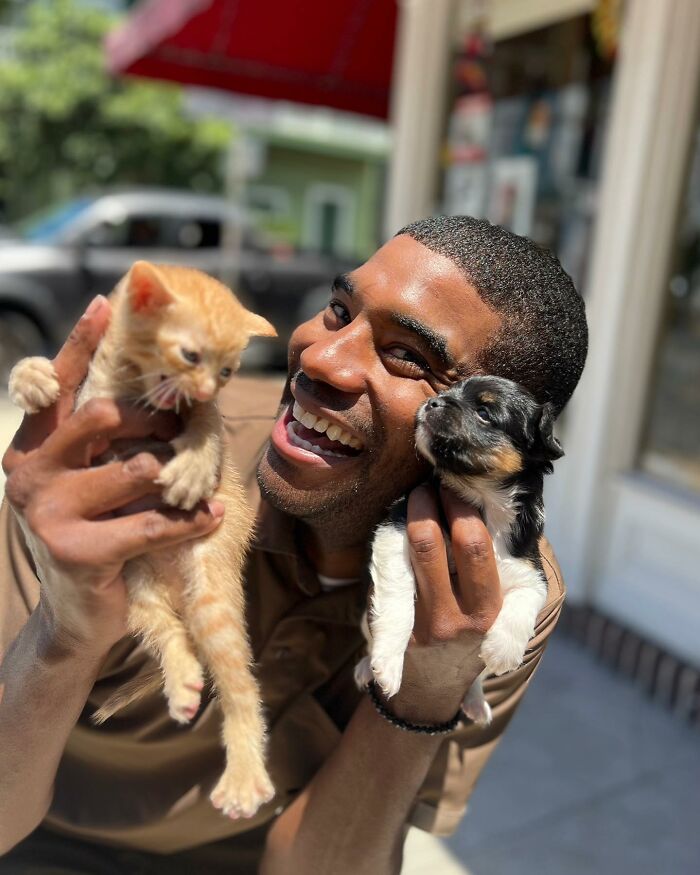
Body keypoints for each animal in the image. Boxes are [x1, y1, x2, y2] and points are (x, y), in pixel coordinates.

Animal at [8, 260, 278, 820]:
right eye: (190, 355)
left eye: (228, 372)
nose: (205, 388)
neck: (128, 385)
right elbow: (45, 367)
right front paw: (34, 378)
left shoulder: (202, 412)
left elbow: (207, 426)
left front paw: (193, 467)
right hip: (136, 589)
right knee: (172, 635)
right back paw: (181, 681)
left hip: (211, 596)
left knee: (241, 689)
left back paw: (243, 778)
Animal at [356, 376, 564, 724]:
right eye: (449, 391)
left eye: (484, 412)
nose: (434, 402)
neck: (483, 500)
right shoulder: (395, 529)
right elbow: (399, 599)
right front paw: (388, 663)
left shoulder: (530, 568)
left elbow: (528, 598)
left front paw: (503, 650)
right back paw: (365, 668)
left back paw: (476, 701)